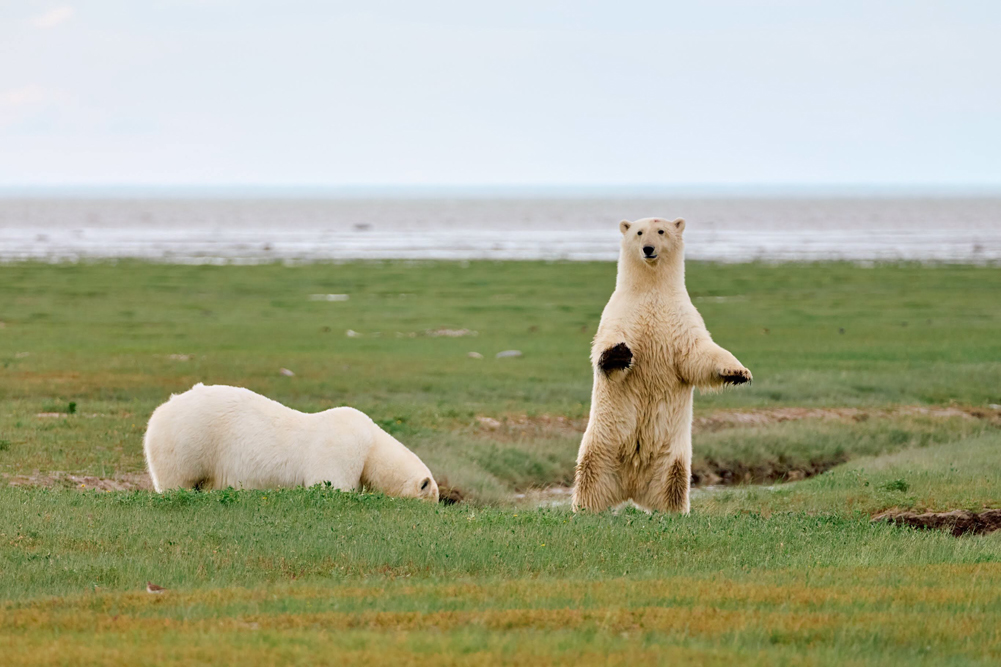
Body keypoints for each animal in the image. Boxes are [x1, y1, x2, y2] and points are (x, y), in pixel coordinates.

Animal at [143, 383, 439, 502]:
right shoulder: (341, 449)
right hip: (187, 443)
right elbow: (331, 484)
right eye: (430, 500)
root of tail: (162, 409)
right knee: (178, 480)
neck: (371, 445)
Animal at [572, 217, 752, 514]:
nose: (648, 249)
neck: (651, 291)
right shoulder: (620, 314)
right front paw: (618, 353)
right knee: (590, 480)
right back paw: (587, 509)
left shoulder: (681, 318)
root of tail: (631, 486)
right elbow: (607, 344)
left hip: (672, 457)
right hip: (601, 445)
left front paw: (737, 372)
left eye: (661, 231)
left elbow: (697, 354)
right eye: (638, 232)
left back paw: (673, 511)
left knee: (673, 485)